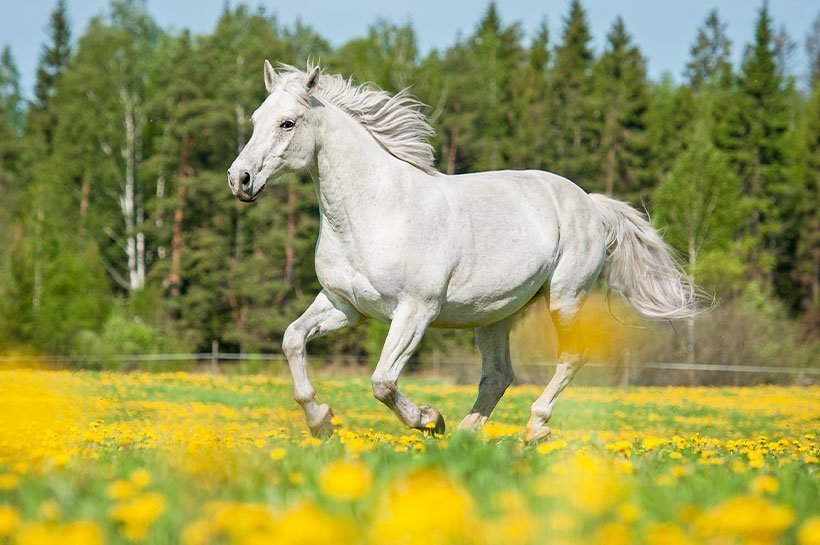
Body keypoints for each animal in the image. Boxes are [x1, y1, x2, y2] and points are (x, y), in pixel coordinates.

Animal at [229, 62, 700, 442]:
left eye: (288, 123)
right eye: (254, 119)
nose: (240, 179)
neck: (375, 212)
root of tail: (589, 202)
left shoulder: (416, 311)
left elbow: (382, 381)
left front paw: (427, 418)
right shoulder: (345, 306)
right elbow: (292, 340)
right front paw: (321, 422)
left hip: (566, 297)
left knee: (570, 357)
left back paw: (533, 428)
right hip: (494, 315)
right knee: (498, 375)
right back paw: (466, 435)